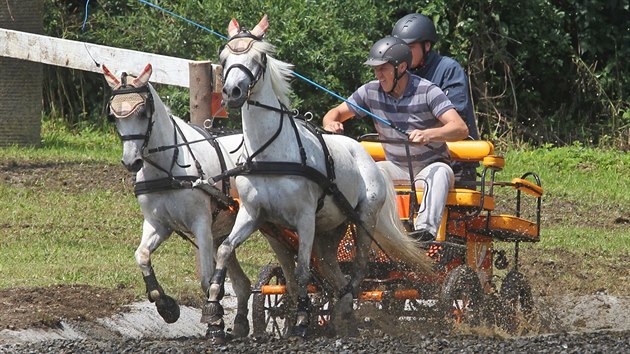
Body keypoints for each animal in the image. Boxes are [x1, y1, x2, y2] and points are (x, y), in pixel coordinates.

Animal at [103, 65, 252, 338]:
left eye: (143, 112)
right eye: (113, 116)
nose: (131, 161)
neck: (169, 168)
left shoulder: (201, 224)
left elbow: (206, 278)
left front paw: (214, 322)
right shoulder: (158, 224)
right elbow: (141, 256)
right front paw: (166, 306)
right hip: (224, 232)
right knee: (240, 279)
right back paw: (240, 323)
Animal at [205, 15, 436, 340]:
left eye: (259, 58)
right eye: (224, 57)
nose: (232, 93)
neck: (271, 152)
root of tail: (369, 159)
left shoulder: (304, 219)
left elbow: (302, 271)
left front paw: (302, 320)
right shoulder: (256, 216)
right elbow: (228, 251)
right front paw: (215, 312)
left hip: (363, 220)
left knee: (358, 271)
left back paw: (343, 313)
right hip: (330, 231)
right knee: (335, 274)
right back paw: (342, 316)